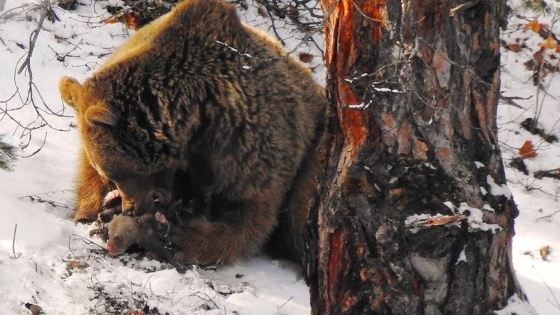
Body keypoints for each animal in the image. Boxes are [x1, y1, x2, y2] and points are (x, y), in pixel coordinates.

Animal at [59, 0, 326, 266]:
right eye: (109, 173)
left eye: (117, 172)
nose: (130, 208)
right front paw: (90, 211)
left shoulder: (246, 143)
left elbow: (248, 215)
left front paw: (179, 237)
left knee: (300, 209)